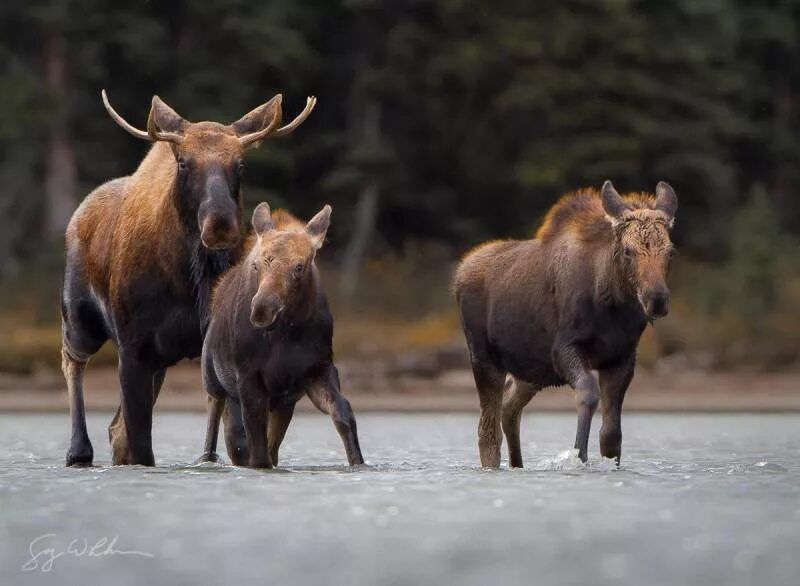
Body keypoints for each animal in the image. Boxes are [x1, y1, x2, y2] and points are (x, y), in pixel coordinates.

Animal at [61, 90, 316, 466]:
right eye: (183, 162)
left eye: (241, 164)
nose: (220, 224)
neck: (186, 279)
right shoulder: (133, 346)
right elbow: (142, 445)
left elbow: (238, 440)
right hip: (81, 319)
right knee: (74, 361)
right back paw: (78, 449)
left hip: (160, 360)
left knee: (117, 428)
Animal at [198, 203, 364, 468]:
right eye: (257, 264)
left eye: (299, 266)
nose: (262, 309)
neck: (287, 334)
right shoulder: (248, 378)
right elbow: (256, 448)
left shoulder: (313, 373)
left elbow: (343, 410)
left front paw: (358, 461)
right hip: (213, 382)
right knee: (218, 428)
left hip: (282, 402)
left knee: (263, 444)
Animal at [454, 180, 680, 464]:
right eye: (628, 251)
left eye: (670, 252)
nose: (656, 299)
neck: (610, 303)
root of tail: (459, 272)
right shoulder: (564, 347)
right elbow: (588, 393)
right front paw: (578, 456)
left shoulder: (622, 357)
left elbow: (611, 436)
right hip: (484, 359)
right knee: (488, 432)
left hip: (530, 369)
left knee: (508, 408)